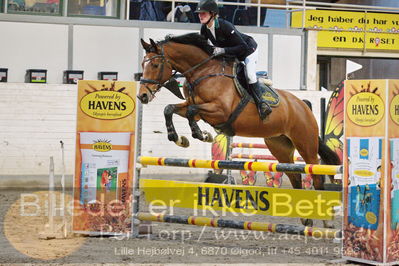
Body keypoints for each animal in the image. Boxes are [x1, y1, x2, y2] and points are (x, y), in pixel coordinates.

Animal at [139, 33, 342, 228]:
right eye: (143, 64)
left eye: (155, 65)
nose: (142, 96)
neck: (204, 72)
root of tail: (303, 106)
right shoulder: (195, 108)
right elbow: (170, 109)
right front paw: (179, 138)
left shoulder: (219, 111)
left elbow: (190, 112)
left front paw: (202, 135)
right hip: (280, 146)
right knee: (295, 176)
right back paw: (306, 220)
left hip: (305, 143)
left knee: (316, 175)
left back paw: (326, 221)